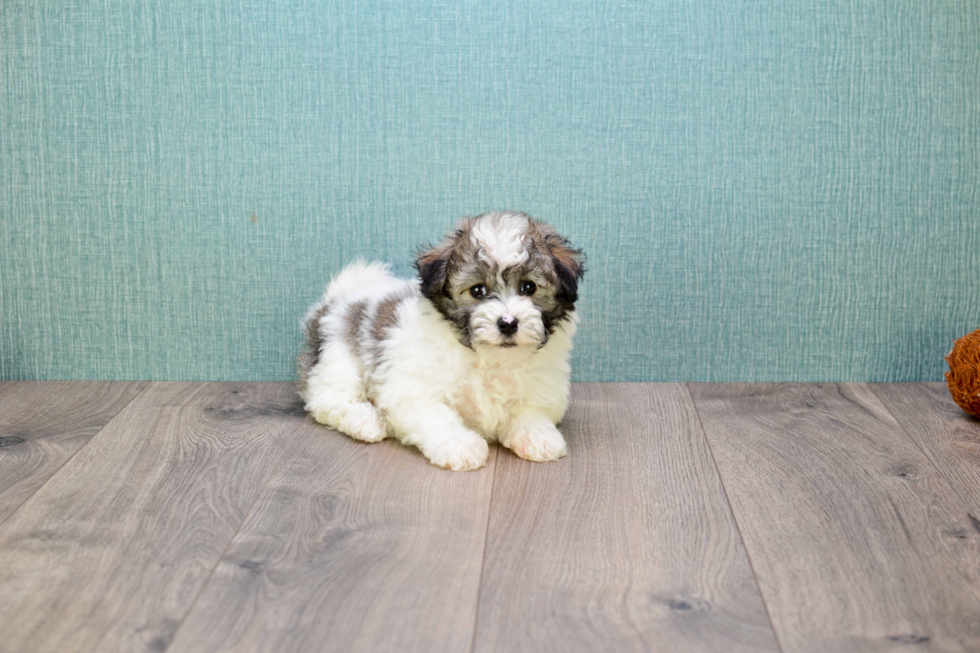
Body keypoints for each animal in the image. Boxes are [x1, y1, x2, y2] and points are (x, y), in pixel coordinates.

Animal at [296, 211, 580, 472]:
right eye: (478, 290)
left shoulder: (541, 389)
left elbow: (531, 411)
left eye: (528, 287)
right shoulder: (412, 389)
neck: (490, 360)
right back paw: (365, 420)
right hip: (339, 354)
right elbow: (438, 415)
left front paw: (538, 435)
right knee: (326, 397)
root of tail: (336, 298)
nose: (508, 322)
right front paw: (461, 445)